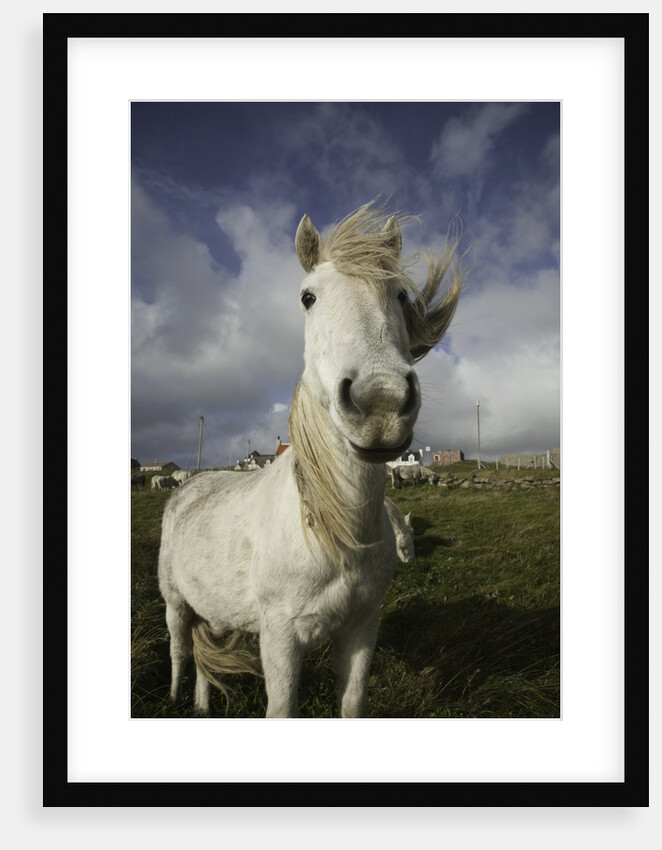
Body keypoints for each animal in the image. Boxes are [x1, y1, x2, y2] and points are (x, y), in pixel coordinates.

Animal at [157, 203, 465, 717]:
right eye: (307, 297)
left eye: (401, 295)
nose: (380, 403)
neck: (334, 532)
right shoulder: (281, 638)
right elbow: (282, 708)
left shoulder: (362, 628)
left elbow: (352, 703)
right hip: (175, 602)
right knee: (181, 651)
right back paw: (178, 698)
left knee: (203, 658)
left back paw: (200, 706)